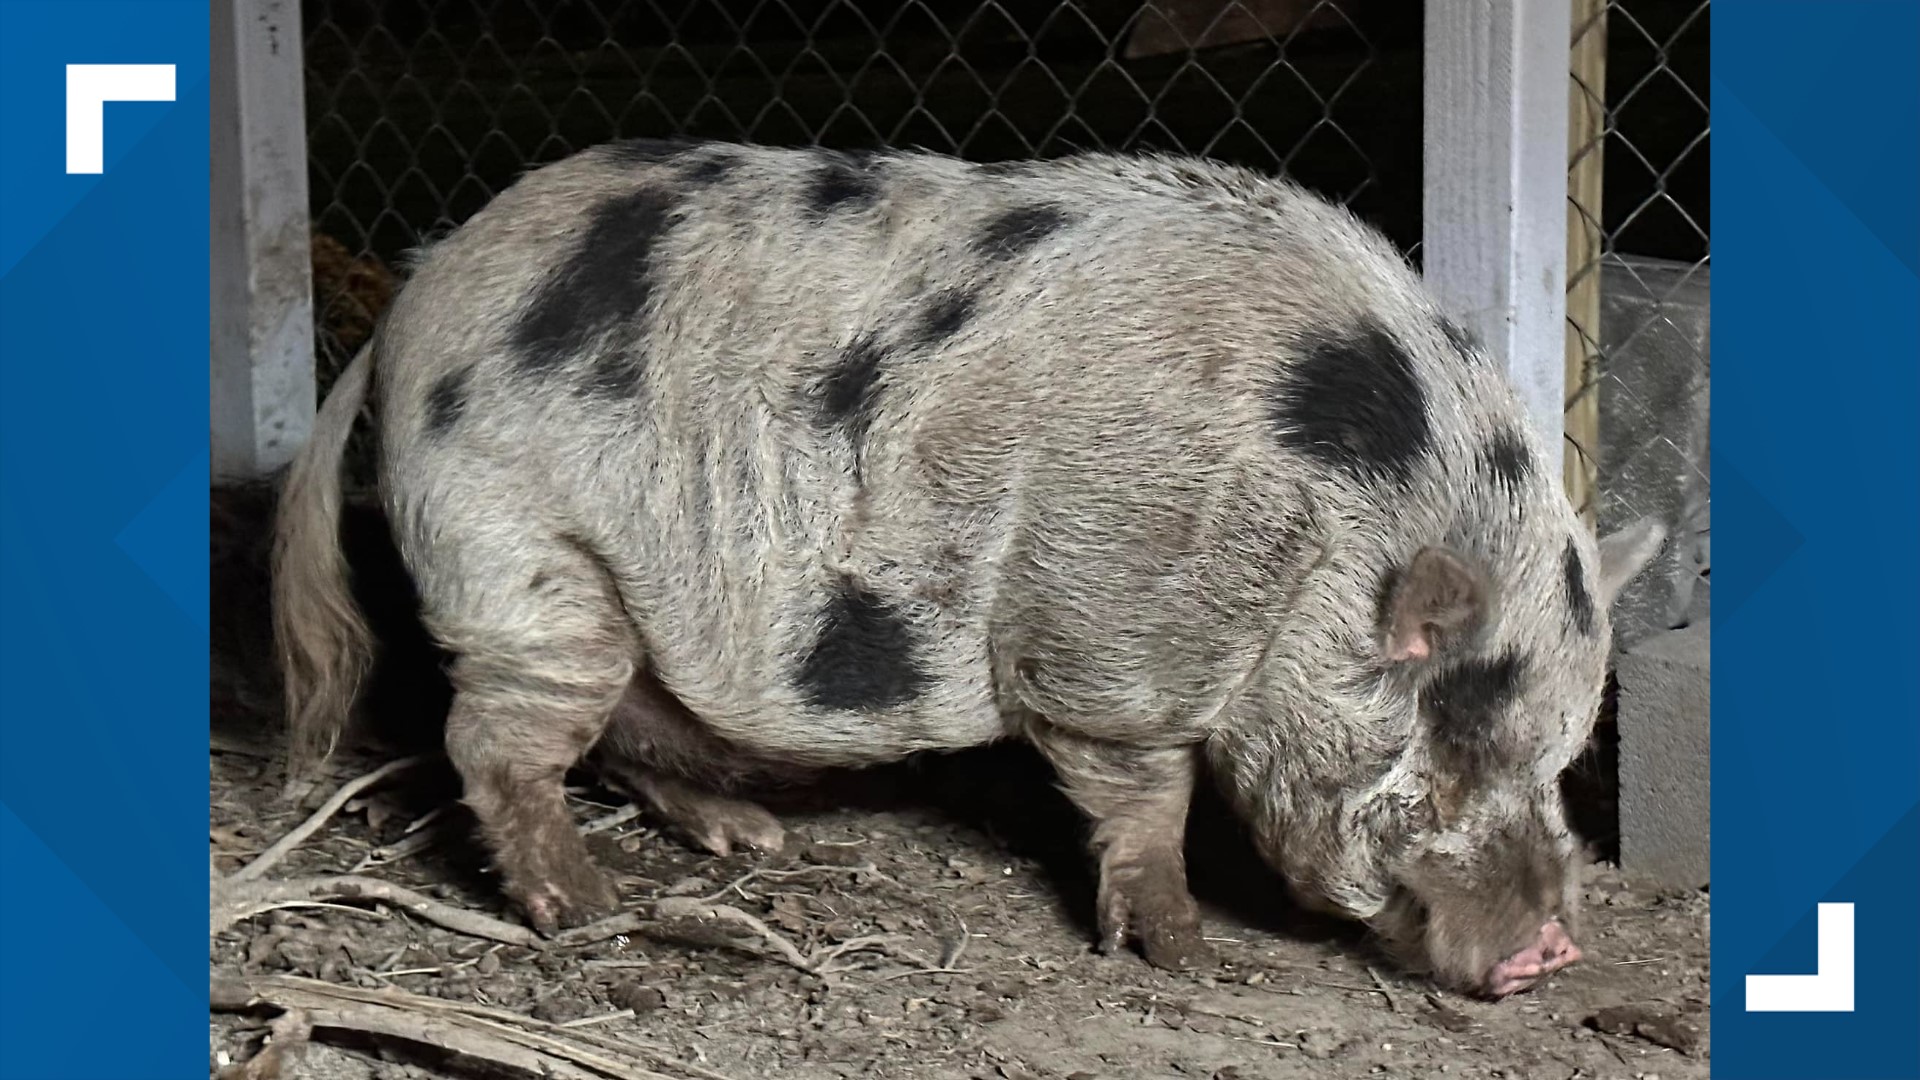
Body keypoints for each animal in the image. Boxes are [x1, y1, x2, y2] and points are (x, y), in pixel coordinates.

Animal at [270, 138, 1666, 999]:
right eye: (1446, 735)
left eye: (1559, 756)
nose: (1550, 952)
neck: (1315, 544)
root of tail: (407, 306)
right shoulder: (1108, 643)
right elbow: (1146, 797)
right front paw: (1185, 954)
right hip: (520, 549)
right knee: (494, 737)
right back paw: (582, 904)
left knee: (626, 721)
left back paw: (747, 837)